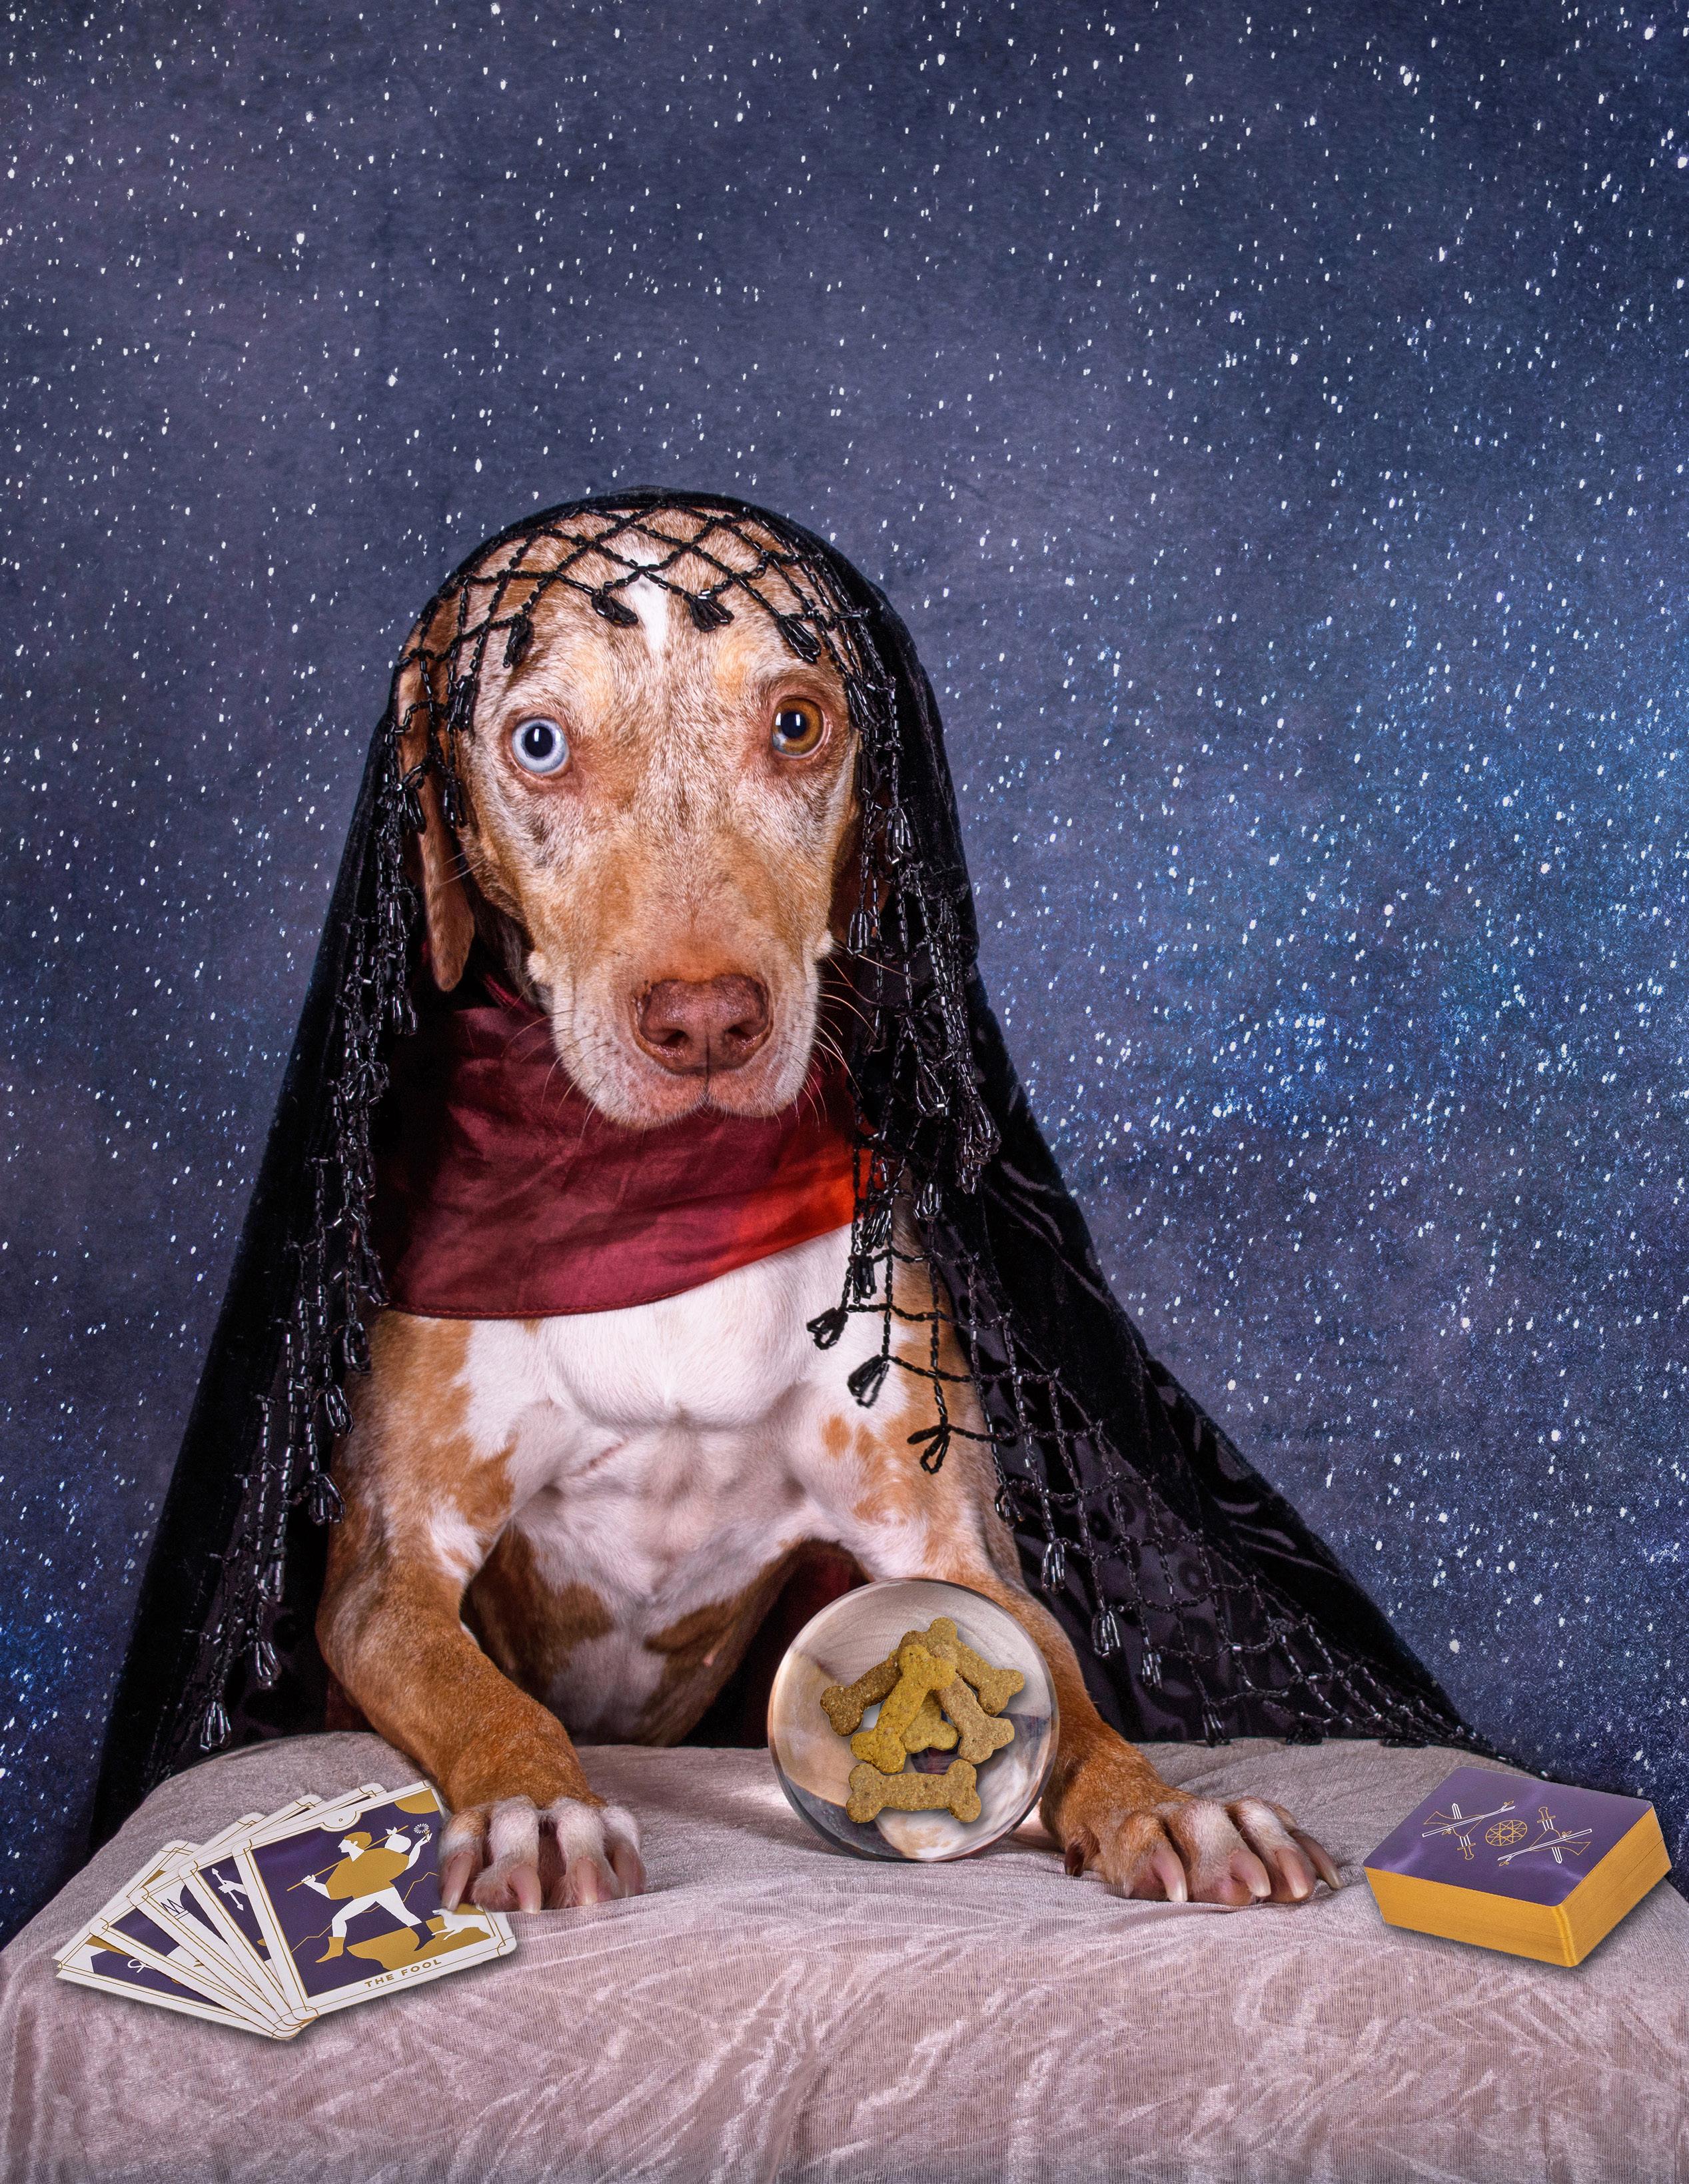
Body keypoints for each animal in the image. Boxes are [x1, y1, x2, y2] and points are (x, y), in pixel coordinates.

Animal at [318, 512, 1342, 1916]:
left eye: (797, 723)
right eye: (537, 742)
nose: (706, 1022)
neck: (659, 1209)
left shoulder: (943, 1536)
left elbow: (1065, 1691)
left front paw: (1164, 1807)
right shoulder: (391, 1573)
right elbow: (485, 1695)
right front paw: (536, 1803)